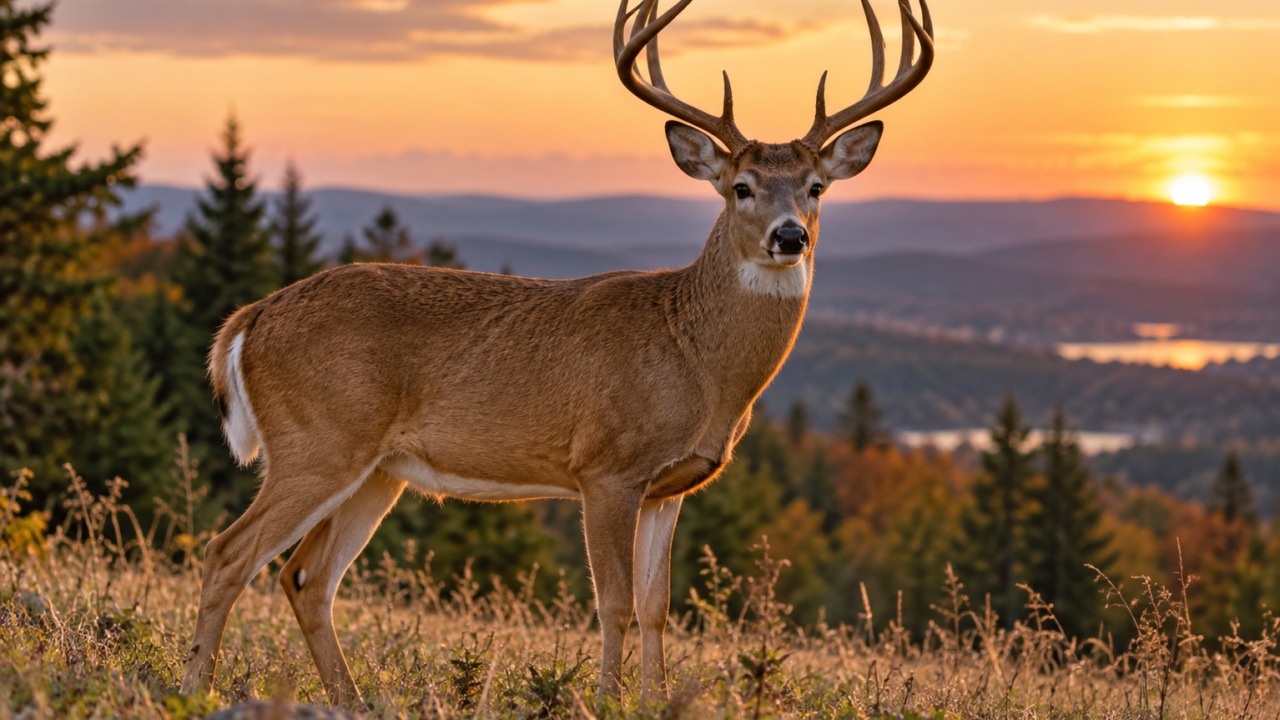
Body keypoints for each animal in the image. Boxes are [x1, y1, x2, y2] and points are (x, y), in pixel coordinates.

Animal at [179, 0, 934, 709]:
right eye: (740, 187)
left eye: (816, 188)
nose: (789, 236)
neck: (695, 358)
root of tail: (252, 317)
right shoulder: (606, 467)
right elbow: (615, 602)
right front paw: (606, 702)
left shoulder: (672, 486)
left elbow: (658, 608)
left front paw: (652, 702)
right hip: (318, 439)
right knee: (228, 554)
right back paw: (194, 689)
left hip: (378, 470)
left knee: (305, 575)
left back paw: (352, 701)